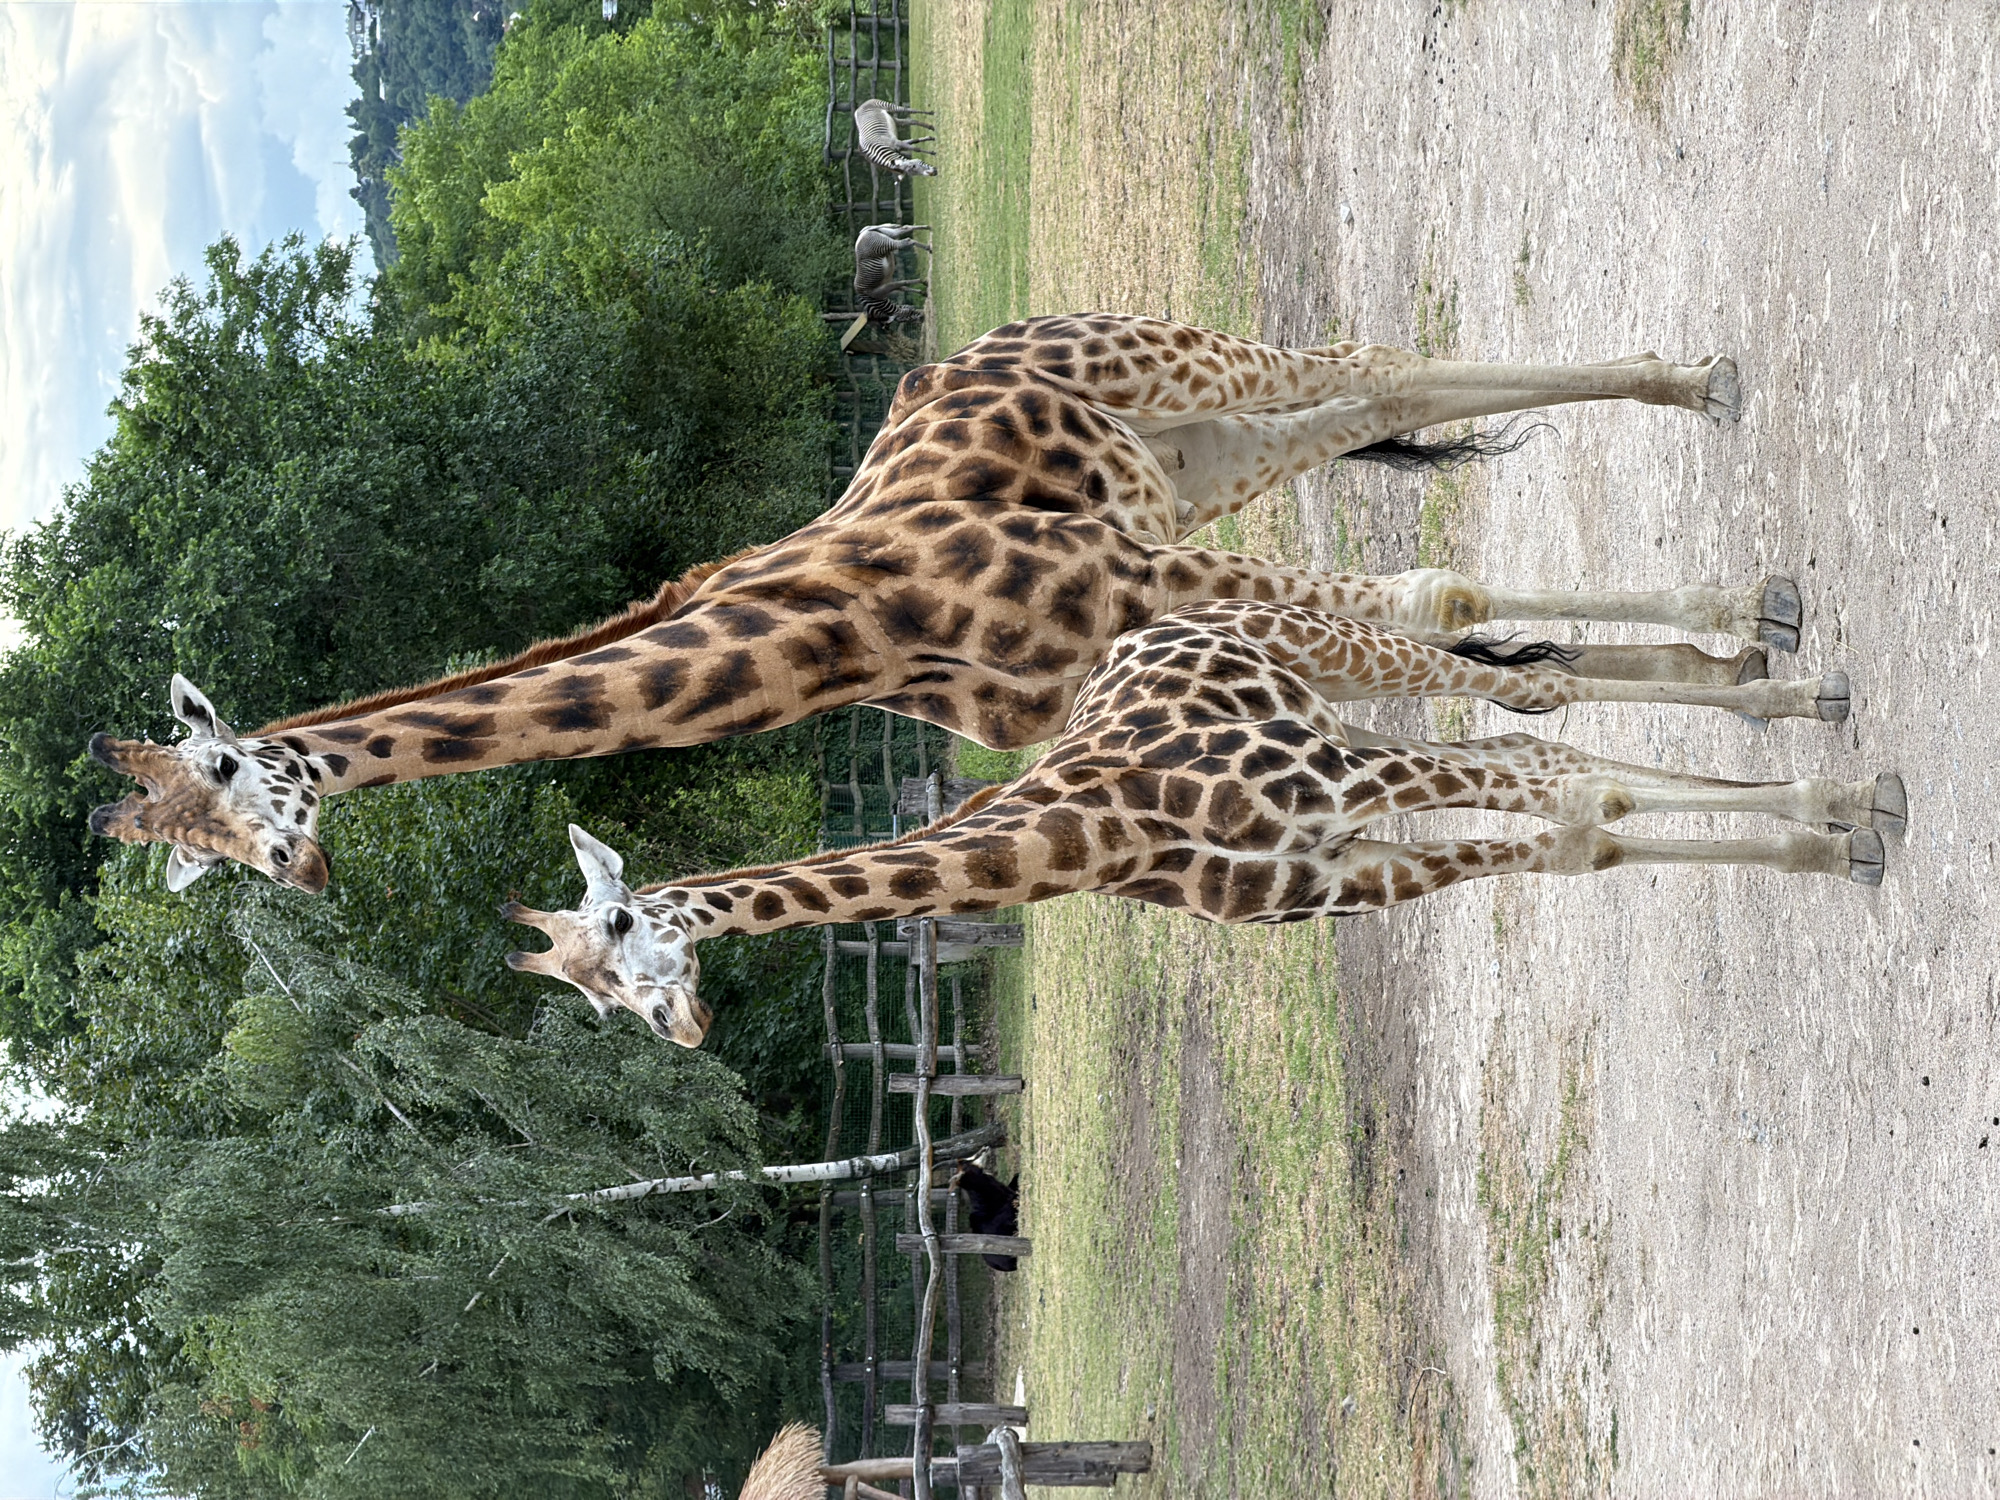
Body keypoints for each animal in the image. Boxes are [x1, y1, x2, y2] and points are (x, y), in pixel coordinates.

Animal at [89, 313, 1780, 893]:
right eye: (202, 859)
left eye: (231, 786)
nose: (301, 877)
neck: (845, 644)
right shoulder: (1178, 626)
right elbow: (1472, 689)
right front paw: (1753, 704)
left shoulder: (1162, 585)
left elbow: (1459, 621)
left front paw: (1764, 687)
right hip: (1201, 454)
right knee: (1386, 390)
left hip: (1196, 393)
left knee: (1387, 369)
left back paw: (1710, 399)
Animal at [500, 599, 1900, 1046]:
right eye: (594, 1006)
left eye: (618, 925)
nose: (683, 1030)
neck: (1101, 836)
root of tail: (1167, 619)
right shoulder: (1352, 873)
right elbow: (1573, 830)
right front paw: (1819, 829)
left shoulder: (1344, 795)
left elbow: (1578, 798)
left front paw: (1837, 821)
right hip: (1343, 712)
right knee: (1518, 721)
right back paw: (1770, 679)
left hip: (1334, 675)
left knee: (1528, 700)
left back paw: (1800, 702)